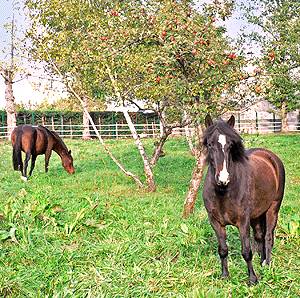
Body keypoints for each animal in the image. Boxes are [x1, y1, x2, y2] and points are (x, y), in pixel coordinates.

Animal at [203, 114, 284, 284]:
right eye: (209, 144)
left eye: (230, 145)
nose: (223, 179)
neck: (223, 192)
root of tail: (271, 157)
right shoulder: (216, 222)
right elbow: (223, 250)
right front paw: (225, 275)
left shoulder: (243, 222)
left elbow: (246, 251)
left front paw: (252, 279)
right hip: (257, 214)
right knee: (259, 236)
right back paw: (262, 261)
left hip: (273, 208)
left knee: (268, 236)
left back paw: (267, 264)